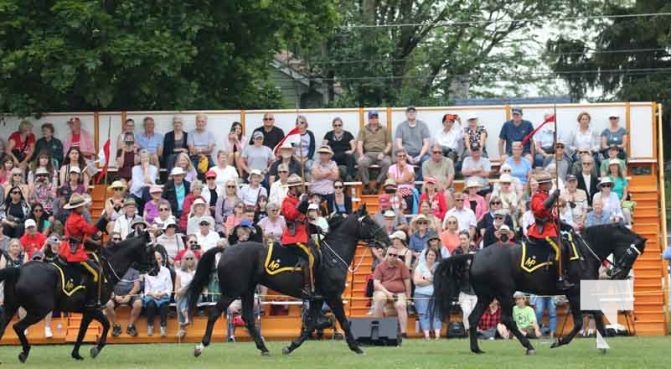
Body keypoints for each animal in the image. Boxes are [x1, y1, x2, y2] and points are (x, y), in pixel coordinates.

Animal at [0, 231, 155, 360]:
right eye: (151, 250)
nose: (156, 269)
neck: (107, 266)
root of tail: (19, 270)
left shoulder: (87, 311)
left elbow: (83, 331)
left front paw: (76, 353)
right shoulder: (93, 309)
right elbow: (104, 325)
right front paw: (95, 349)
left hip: (10, 308)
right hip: (39, 310)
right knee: (18, 327)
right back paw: (24, 352)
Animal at [186, 204, 392, 356]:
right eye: (370, 222)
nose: (387, 241)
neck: (332, 256)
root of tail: (226, 249)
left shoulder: (317, 298)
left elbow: (310, 324)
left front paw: (291, 346)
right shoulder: (332, 296)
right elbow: (343, 321)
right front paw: (356, 347)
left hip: (247, 291)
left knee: (248, 318)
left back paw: (263, 348)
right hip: (232, 292)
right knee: (215, 313)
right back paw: (200, 347)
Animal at [434, 221, 648, 354]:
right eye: (632, 253)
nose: (620, 274)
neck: (584, 252)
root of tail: (475, 255)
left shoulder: (580, 292)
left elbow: (595, 314)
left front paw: (602, 343)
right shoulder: (575, 293)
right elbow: (581, 321)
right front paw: (560, 341)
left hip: (486, 296)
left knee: (473, 318)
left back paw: (477, 349)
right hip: (504, 293)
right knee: (507, 319)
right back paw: (528, 345)